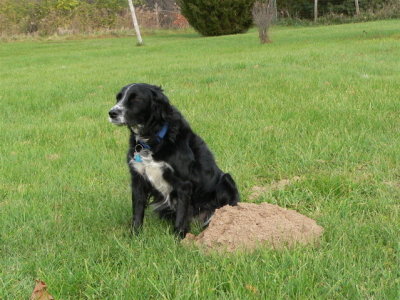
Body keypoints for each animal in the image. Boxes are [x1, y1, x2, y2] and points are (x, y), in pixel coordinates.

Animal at [108, 83, 241, 238]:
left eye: (136, 99)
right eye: (118, 97)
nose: (112, 113)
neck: (152, 138)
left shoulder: (183, 183)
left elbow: (182, 214)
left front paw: (179, 237)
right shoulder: (138, 179)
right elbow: (137, 211)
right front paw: (135, 235)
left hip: (226, 179)